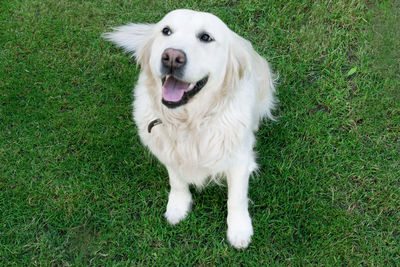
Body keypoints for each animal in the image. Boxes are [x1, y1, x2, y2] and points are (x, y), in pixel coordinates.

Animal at [103, 9, 276, 250]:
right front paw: (178, 206)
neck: (188, 122)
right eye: (166, 31)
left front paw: (239, 229)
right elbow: (176, 180)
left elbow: (237, 197)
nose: (172, 57)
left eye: (205, 37)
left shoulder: (239, 159)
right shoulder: (167, 151)